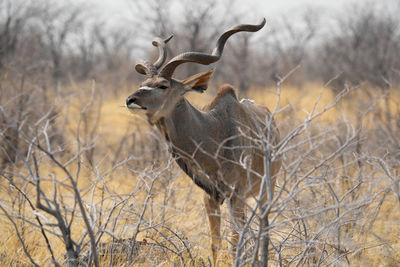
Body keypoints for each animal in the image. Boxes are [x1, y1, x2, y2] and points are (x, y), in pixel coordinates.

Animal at [126, 18, 282, 266]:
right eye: (144, 81)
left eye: (163, 85)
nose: (131, 99)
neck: (214, 135)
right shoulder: (210, 197)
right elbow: (215, 244)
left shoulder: (235, 195)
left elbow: (234, 242)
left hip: (267, 188)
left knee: (261, 228)